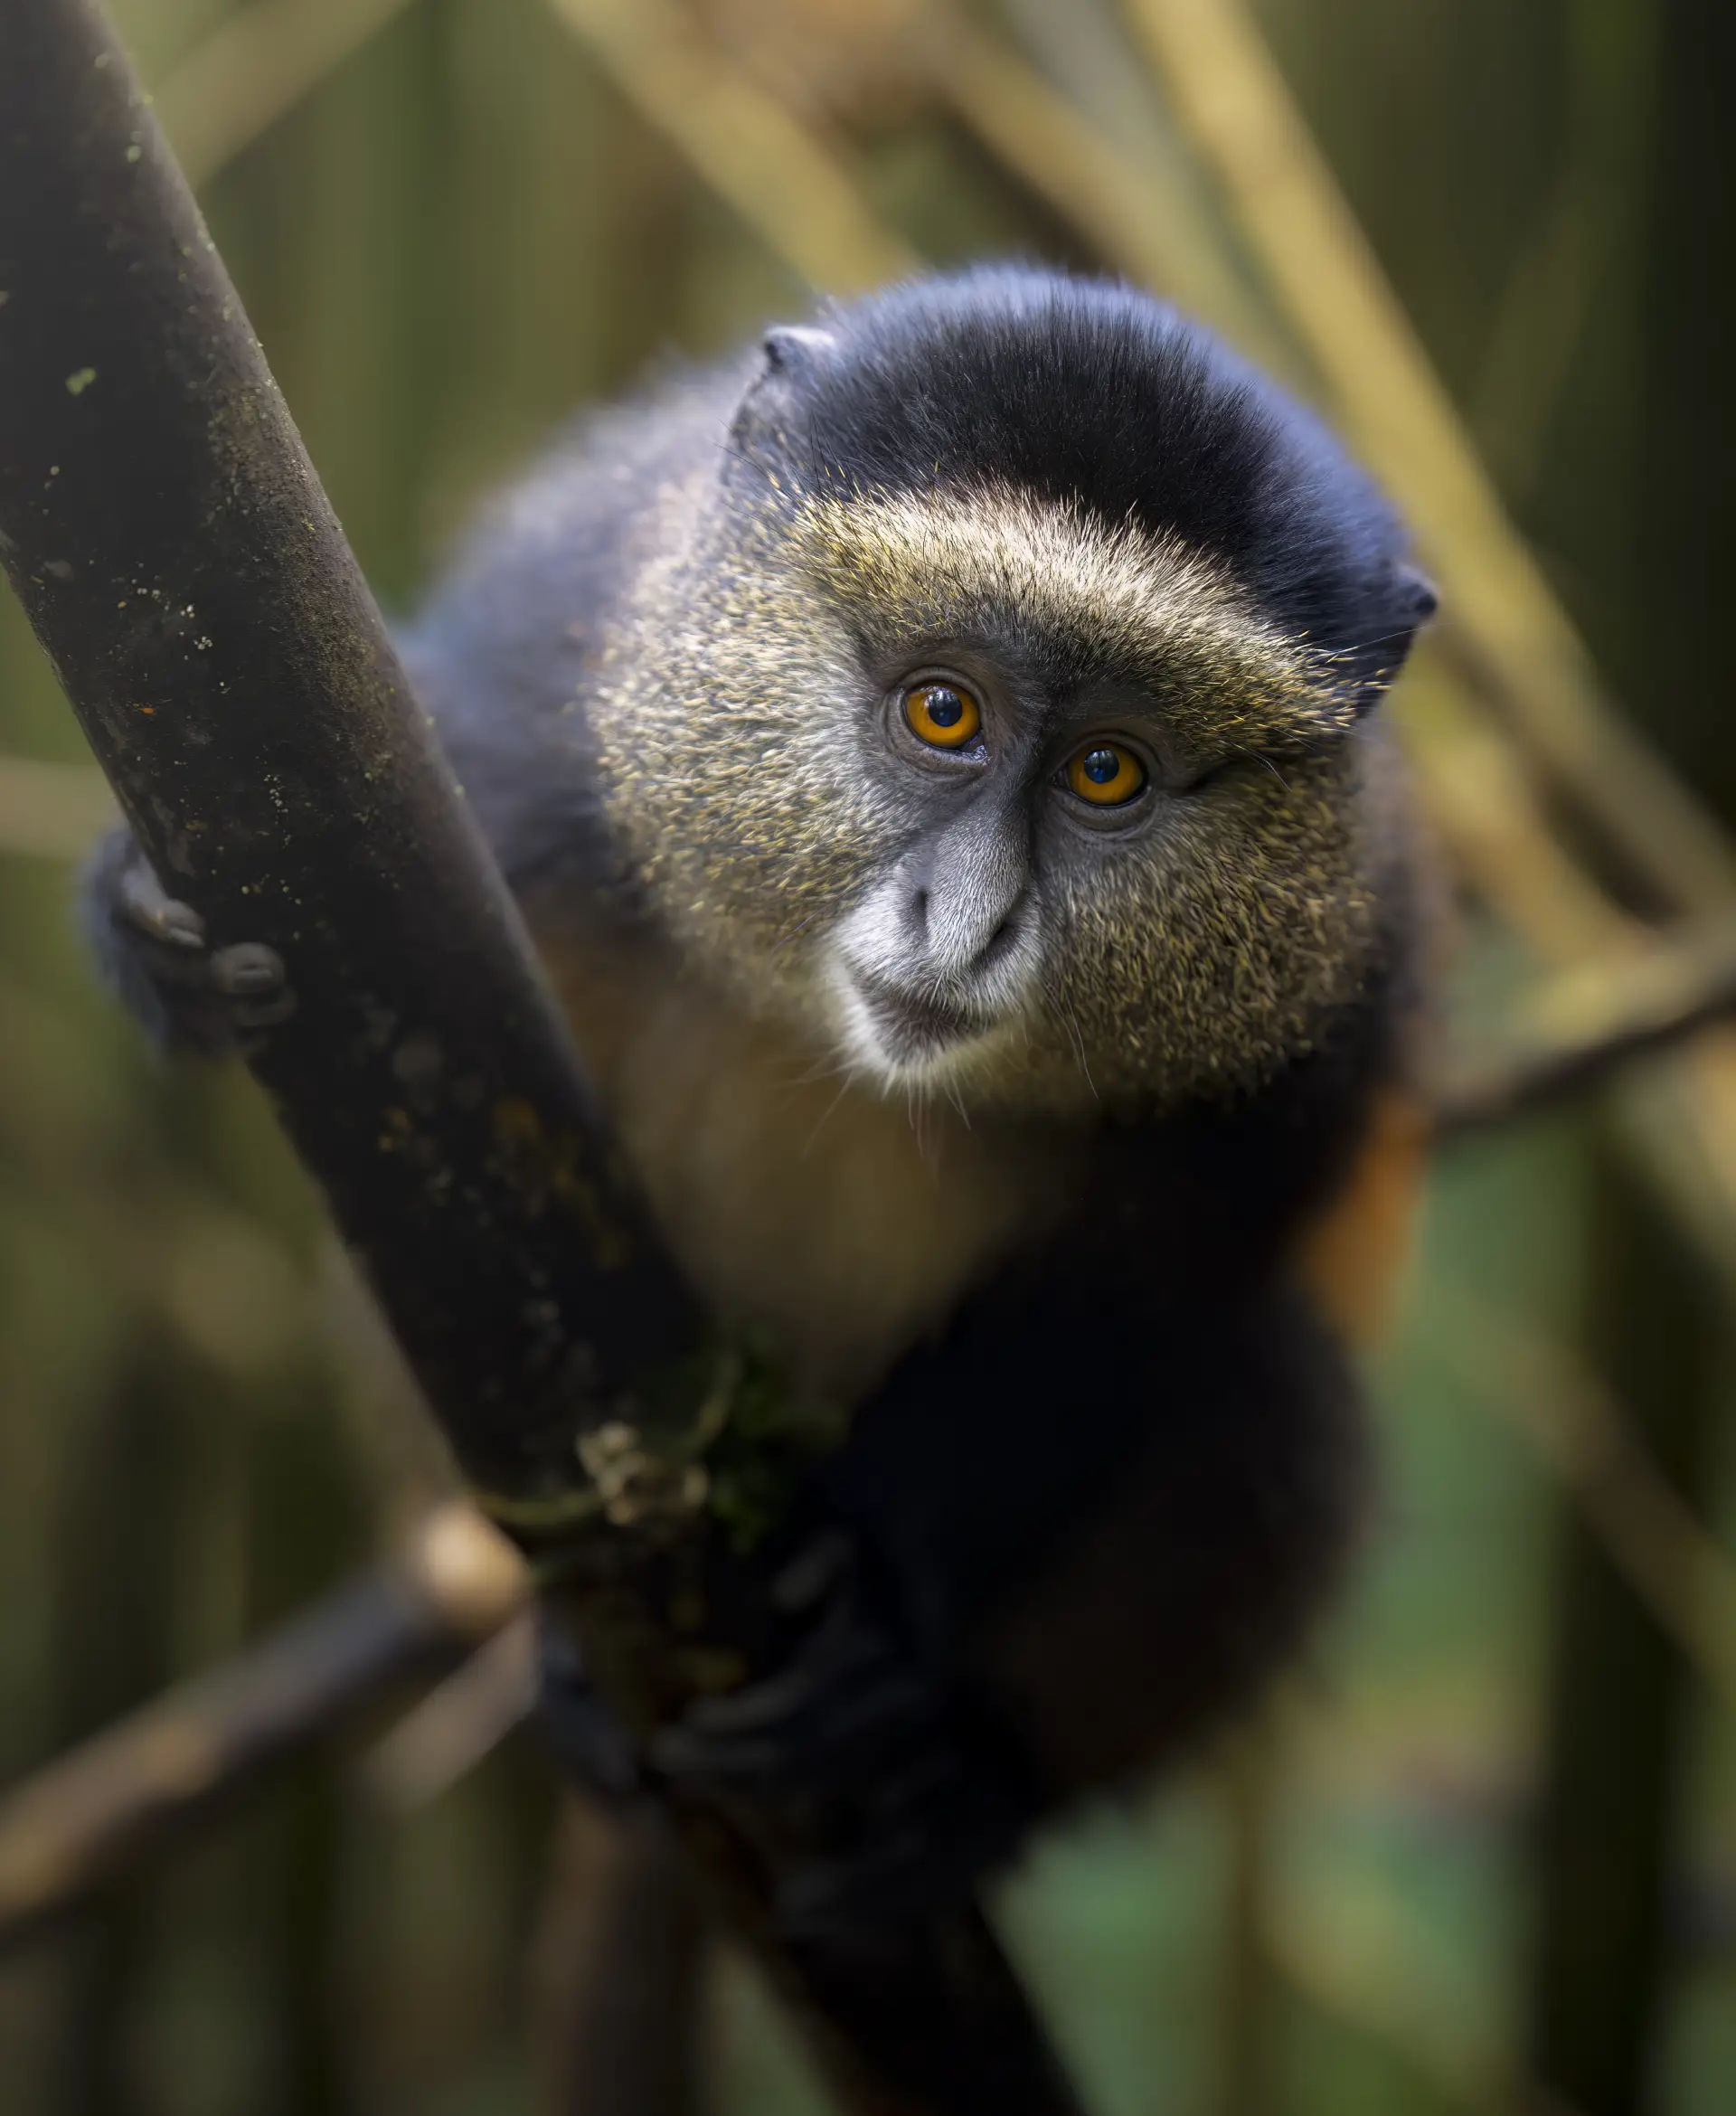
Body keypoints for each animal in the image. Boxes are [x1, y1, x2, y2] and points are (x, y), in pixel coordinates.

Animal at [87, 265, 1439, 1938]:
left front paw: (872, 1593)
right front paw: (157, 932)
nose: (967, 923)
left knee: (1274, 1388)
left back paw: (958, 1788)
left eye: (1109, 774)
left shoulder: (1331, 991)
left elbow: (1151, 1289)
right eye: (943, 713)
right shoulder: (520, 729)